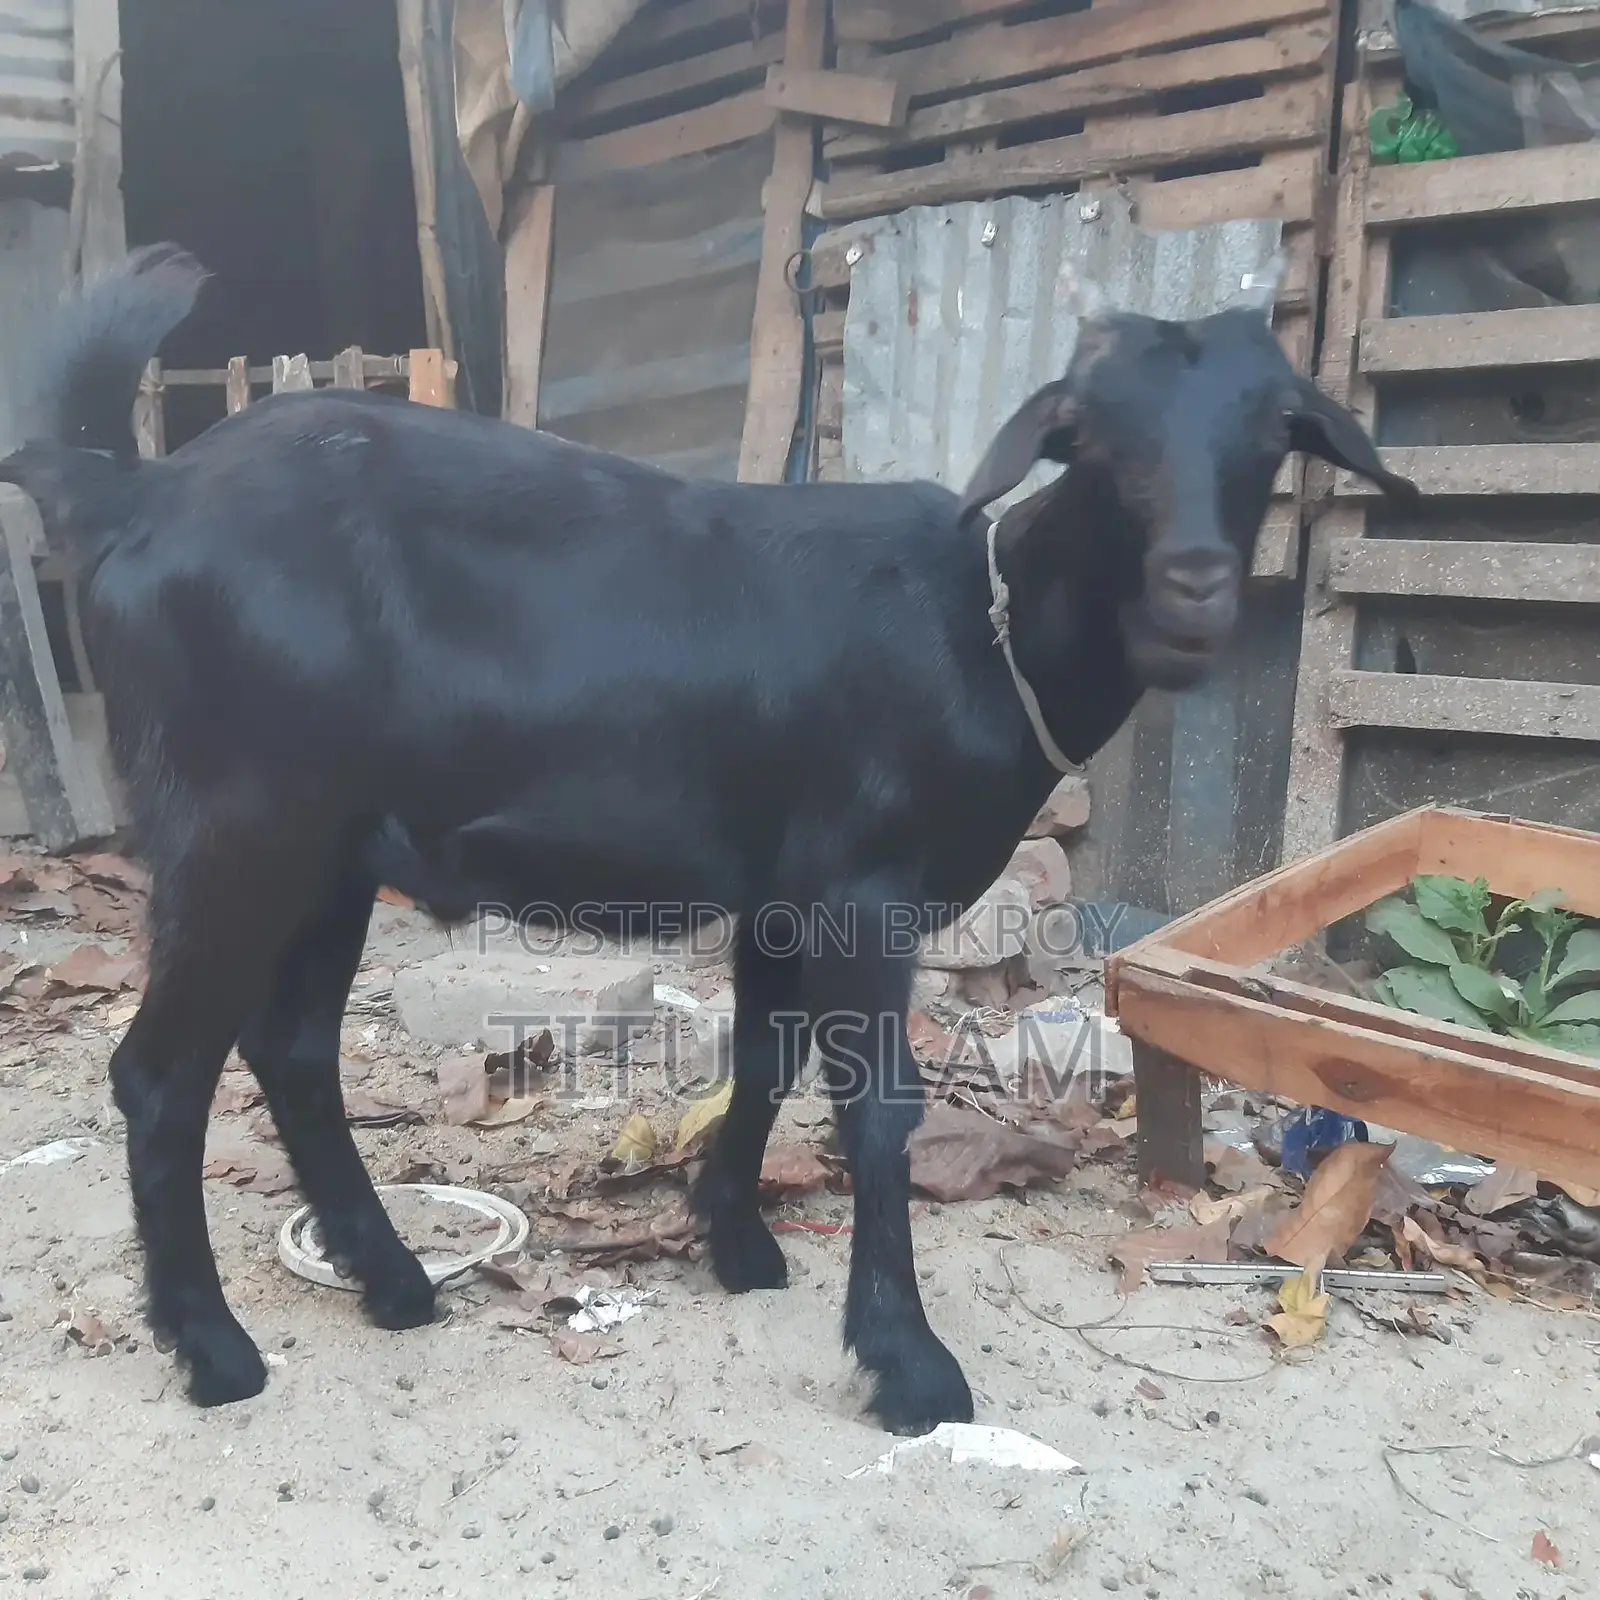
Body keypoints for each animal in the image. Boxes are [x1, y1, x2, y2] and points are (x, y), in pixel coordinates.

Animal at [0, 244, 1417, 1435]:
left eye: (1271, 436)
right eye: (1095, 438)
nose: (1192, 593)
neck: (982, 624)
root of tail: (137, 492)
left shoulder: (784, 889)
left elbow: (769, 1058)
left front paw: (738, 1247)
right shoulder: (862, 885)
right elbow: (876, 1105)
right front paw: (907, 1364)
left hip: (329, 849)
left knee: (290, 1050)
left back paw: (393, 1281)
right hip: (240, 822)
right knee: (162, 1073)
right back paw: (215, 1351)